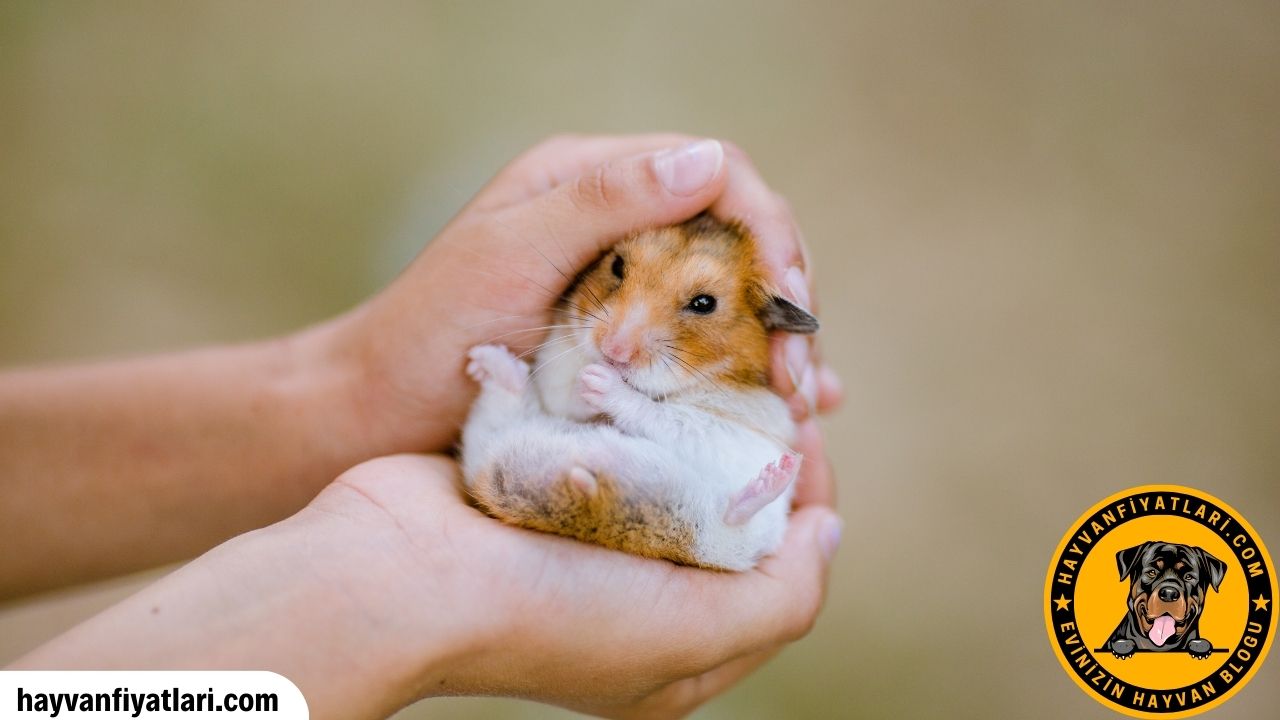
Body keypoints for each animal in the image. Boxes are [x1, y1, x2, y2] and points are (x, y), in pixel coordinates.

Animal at [460, 213, 819, 570]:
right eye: (617, 265)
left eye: (705, 303)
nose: (612, 351)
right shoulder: (554, 366)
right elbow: (564, 394)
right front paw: (588, 378)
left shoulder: (731, 430)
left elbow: (662, 415)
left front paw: (598, 380)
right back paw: (488, 362)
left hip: (735, 535)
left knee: (733, 519)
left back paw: (777, 474)